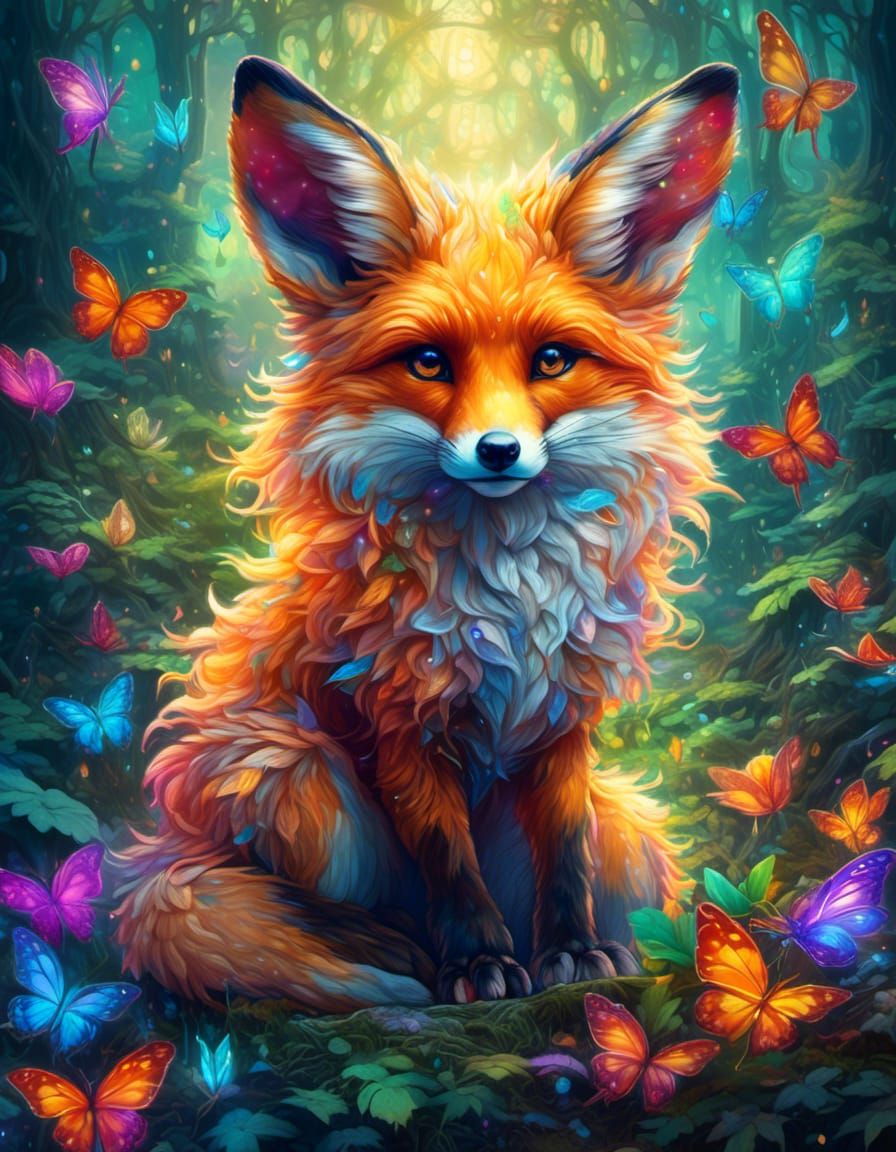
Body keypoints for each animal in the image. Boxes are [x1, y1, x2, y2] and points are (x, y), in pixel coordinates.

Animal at [113, 57, 739, 1011]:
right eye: (429, 362)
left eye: (551, 360)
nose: (498, 449)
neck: (508, 590)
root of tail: (167, 852)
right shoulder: (399, 718)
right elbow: (449, 862)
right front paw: (479, 966)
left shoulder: (564, 722)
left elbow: (564, 857)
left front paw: (571, 953)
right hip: (289, 767)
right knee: (305, 906)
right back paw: (395, 954)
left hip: (628, 827)